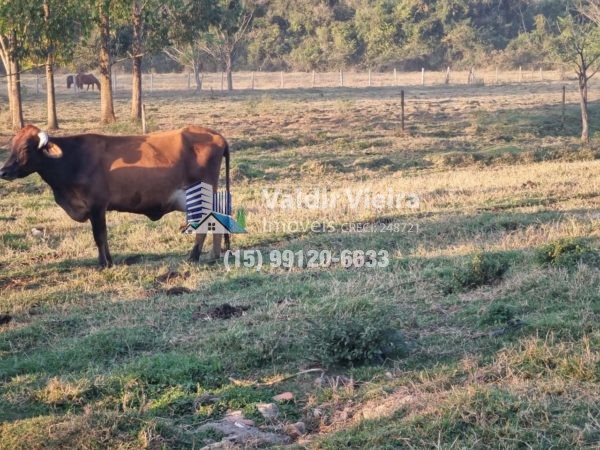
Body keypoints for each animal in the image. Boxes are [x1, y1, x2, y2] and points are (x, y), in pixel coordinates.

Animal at [0, 125, 231, 268]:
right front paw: (109, 261)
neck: (72, 159)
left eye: (25, 147)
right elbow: (103, 237)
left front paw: (104, 264)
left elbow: (99, 236)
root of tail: (216, 135)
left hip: (200, 195)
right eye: (12, 146)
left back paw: (194, 256)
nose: (3, 171)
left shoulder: (97, 206)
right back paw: (213, 254)